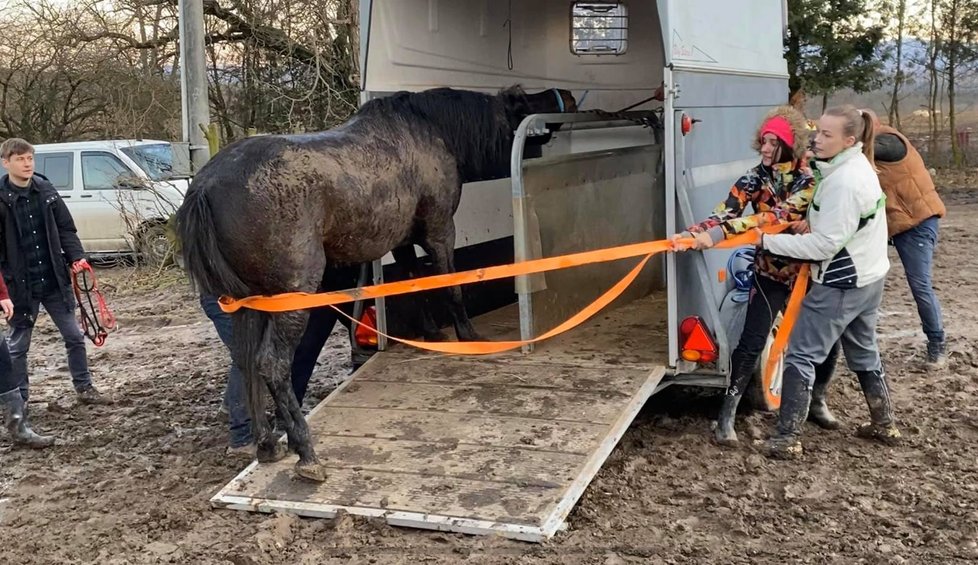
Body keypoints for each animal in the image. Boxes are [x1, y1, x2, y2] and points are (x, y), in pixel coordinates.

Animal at [177, 85, 572, 480]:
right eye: (527, 103)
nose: (566, 95)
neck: (427, 129)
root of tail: (205, 187)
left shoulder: (402, 240)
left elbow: (415, 284)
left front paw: (432, 334)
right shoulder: (440, 231)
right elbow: (450, 286)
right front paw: (468, 336)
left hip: (249, 302)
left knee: (247, 365)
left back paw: (268, 445)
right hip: (291, 295)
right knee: (272, 364)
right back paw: (307, 453)